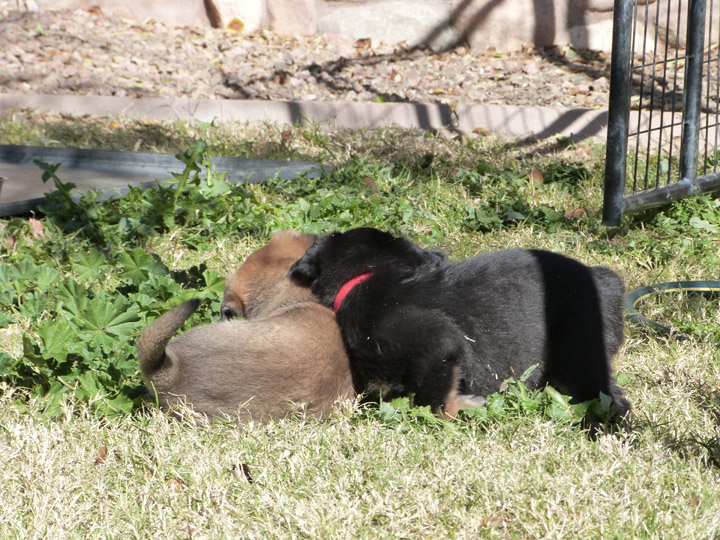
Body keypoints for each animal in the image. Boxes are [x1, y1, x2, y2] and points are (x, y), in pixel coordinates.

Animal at [290, 227, 632, 418]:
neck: (366, 277)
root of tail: (603, 280)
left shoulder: (438, 342)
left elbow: (435, 401)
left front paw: (462, 406)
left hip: (577, 353)